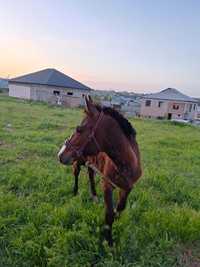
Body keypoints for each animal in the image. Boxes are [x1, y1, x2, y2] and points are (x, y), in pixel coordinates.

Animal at [57, 96, 142, 247]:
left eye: (79, 129)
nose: (60, 154)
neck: (126, 164)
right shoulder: (107, 185)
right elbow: (109, 215)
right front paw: (108, 241)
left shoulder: (127, 188)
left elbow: (120, 208)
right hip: (78, 160)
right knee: (76, 173)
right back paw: (75, 192)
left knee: (90, 175)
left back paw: (95, 196)